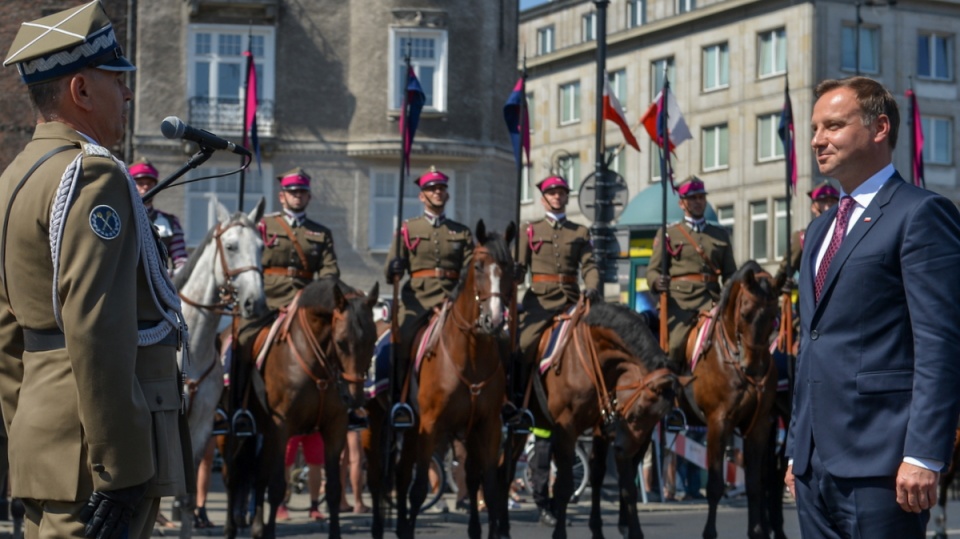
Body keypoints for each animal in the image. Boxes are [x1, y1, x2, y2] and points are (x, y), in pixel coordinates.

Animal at [232, 280, 378, 539]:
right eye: (341, 342)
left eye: (373, 340)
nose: (354, 398)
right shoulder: (282, 428)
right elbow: (277, 487)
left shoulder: (335, 428)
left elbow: (333, 488)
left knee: (258, 474)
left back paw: (257, 527)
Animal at [394, 220, 516, 539]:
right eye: (479, 266)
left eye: (509, 267)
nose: (495, 320)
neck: (470, 353)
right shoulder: (430, 425)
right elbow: (419, 488)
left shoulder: (488, 426)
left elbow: (489, 486)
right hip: (411, 428)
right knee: (403, 475)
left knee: (471, 478)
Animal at [684, 262, 780, 539]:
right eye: (745, 313)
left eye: (775, 316)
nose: (754, 369)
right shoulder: (719, 422)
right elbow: (716, 483)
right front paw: (709, 532)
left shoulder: (758, 426)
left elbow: (754, 484)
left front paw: (757, 531)